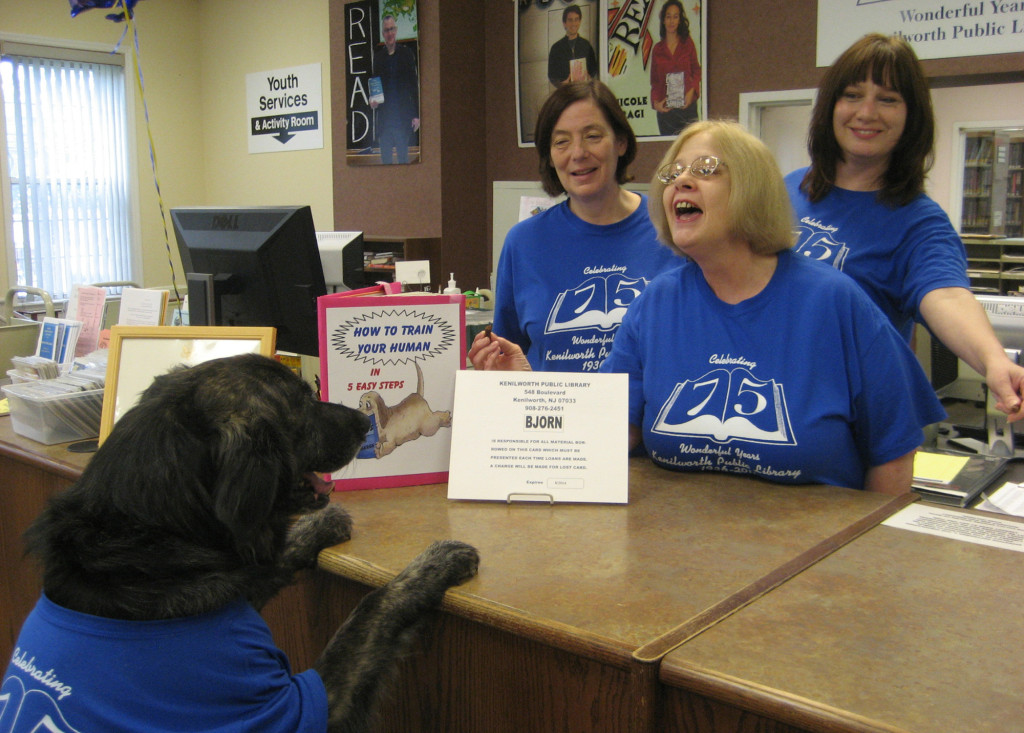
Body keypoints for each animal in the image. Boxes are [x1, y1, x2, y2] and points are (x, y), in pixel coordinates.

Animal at [6, 352, 477, 728]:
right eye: (301, 403)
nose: (364, 423)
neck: (146, 535)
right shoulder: (300, 708)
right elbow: (370, 610)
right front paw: (433, 564)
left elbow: (274, 559)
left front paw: (321, 525)